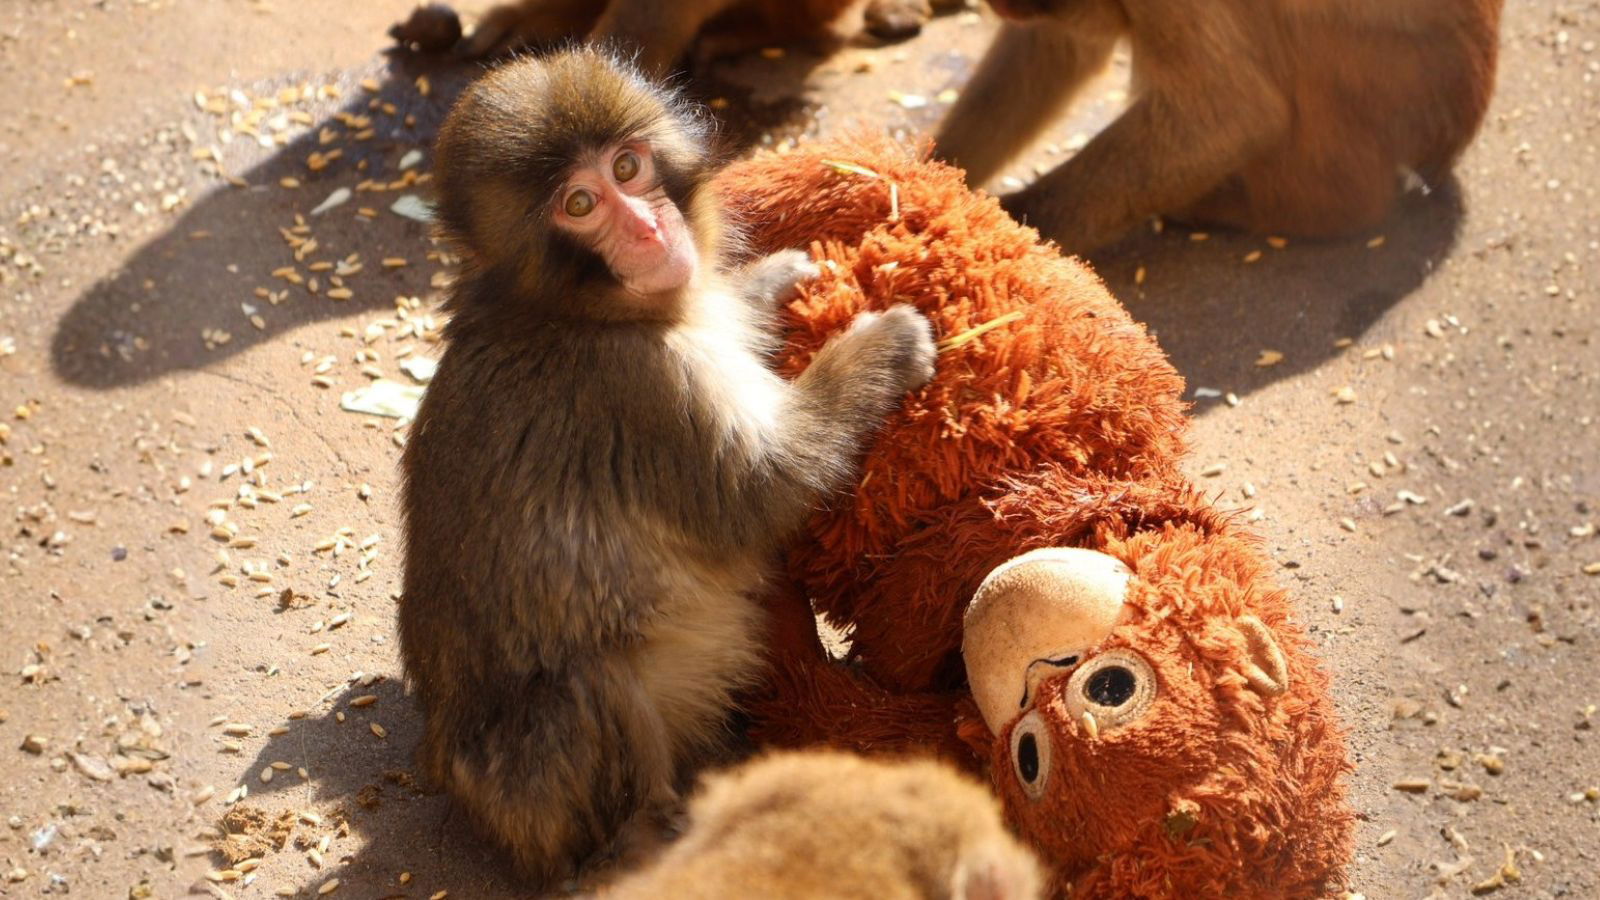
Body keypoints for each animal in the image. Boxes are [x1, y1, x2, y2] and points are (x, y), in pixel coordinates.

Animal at [398, 48, 937, 886]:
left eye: (628, 166)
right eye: (580, 203)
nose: (650, 228)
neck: (574, 311)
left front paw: (769, 280)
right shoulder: (642, 387)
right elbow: (763, 490)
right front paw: (880, 348)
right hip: (538, 792)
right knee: (591, 685)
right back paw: (651, 837)